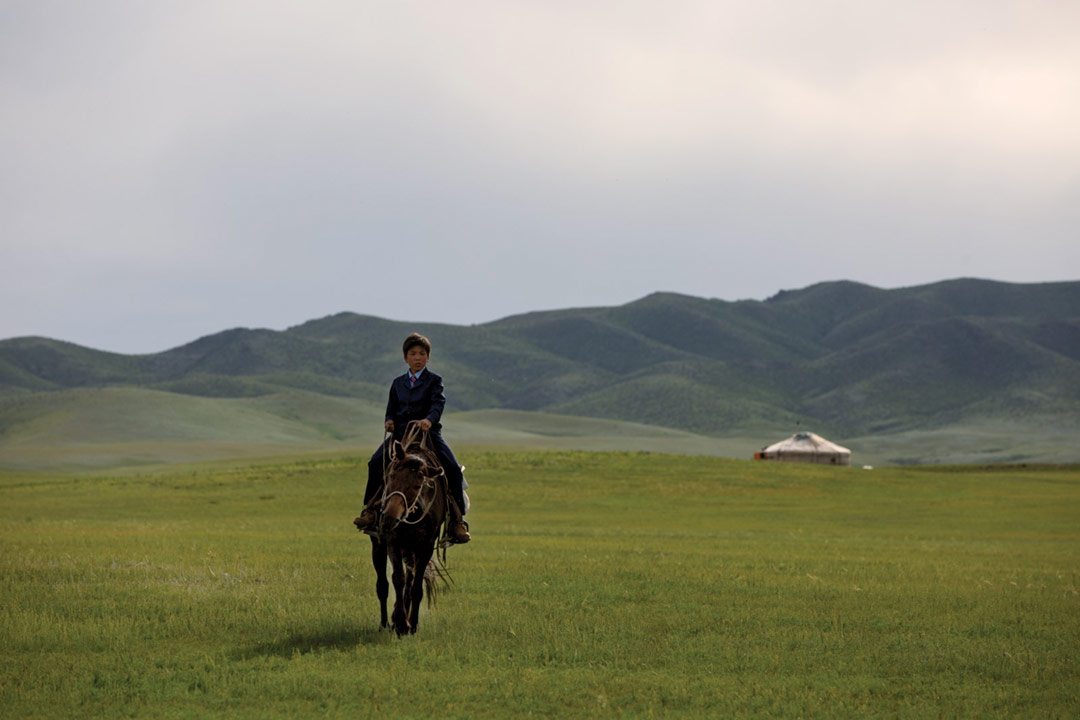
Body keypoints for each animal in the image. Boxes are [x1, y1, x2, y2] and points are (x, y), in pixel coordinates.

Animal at [365, 427, 444, 634]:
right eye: (391, 476)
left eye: (417, 486)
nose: (388, 520)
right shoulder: (393, 541)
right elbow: (397, 579)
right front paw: (400, 622)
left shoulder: (425, 546)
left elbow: (415, 586)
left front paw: (411, 623)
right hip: (380, 546)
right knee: (383, 585)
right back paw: (385, 623)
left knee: (410, 581)